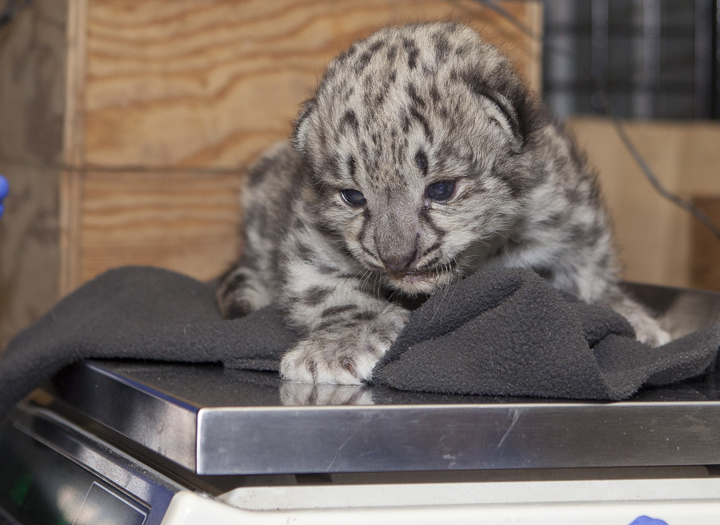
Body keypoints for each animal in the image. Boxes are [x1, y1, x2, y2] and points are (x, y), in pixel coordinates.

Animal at [217, 21, 670, 385]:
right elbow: (330, 293)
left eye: (440, 190)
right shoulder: (310, 241)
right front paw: (338, 348)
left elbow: (590, 266)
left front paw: (632, 316)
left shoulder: (572, 211)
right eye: (353, 196)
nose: (397, 258)